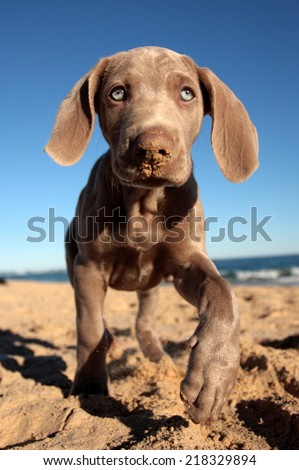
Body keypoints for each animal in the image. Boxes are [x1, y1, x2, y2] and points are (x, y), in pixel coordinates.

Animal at [45, 46, 258, 424]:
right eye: (117, 93)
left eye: (187, 93)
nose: (152, 148)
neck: (143, 205)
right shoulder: (89, 268)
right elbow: (89, 328)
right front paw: (89, 387)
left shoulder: (186, 262)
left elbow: (223, 292)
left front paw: (214, 374)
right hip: (73, 260)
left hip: (151, 284)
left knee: (144, 318)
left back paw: (157, 354)